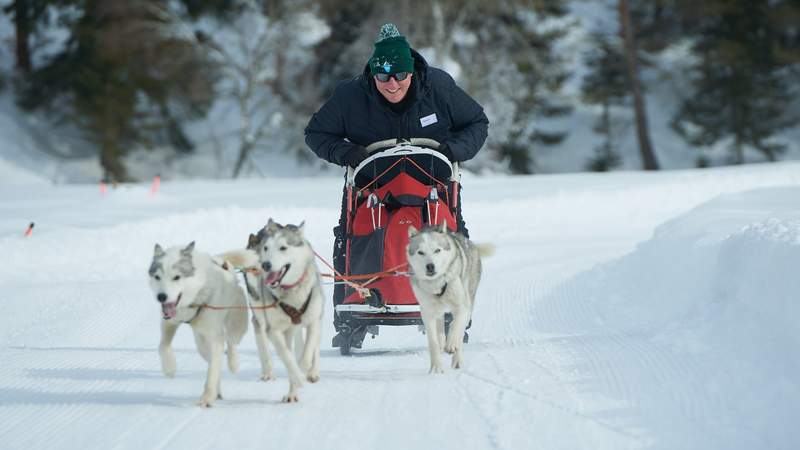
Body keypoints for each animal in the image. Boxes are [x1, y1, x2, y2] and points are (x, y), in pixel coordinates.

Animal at [147, 243, 247, 408]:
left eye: (177, 277)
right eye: (157, 277)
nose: (161, 297)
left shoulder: (215, 339)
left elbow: (212, 370)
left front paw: (206, 398)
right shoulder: (169, 322)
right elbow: (163, 346)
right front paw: (169, 368)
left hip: (235, 324)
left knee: (231, 341)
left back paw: (233, 363)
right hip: (201, 343)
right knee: (214, 359)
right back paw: (218, 391)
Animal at [247, 220, 322, 402]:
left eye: (283, 248)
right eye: (266, 248)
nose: (266, 265)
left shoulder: (313, 322)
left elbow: (308, 353)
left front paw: (304, 370)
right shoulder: (272, 329)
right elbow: (286, 356)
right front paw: (296, 377)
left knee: (314, 348)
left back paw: (312, 372)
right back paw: (291, 392)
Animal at [410, 221, 490, 372]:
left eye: (437, 250)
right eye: (420, 252)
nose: (430, 266)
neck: (438, 284)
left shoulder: (462, 307)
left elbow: (455, 326)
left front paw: (451, 344)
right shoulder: (427, 312)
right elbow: (433, 341)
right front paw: (435, 367)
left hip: (468, 303)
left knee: (459, 330)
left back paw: (456, 357)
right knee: (440, 327)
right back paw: (442, 342)